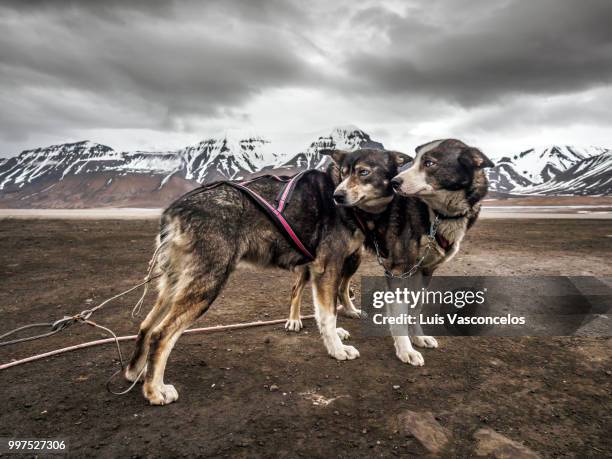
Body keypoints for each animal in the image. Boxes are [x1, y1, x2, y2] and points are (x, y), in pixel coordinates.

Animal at [124, 149, 412, 404]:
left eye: (363, 172)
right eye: (344, 172)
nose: (337, 196)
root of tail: (173, 211)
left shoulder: (325, 268)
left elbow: (325, 311)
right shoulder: (326, 266)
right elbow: (328, 314)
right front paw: (337, 350)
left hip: (175, 284)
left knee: (147, 326)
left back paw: (137, 372)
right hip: (207, 283)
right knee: (161, 334)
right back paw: (155, 390)